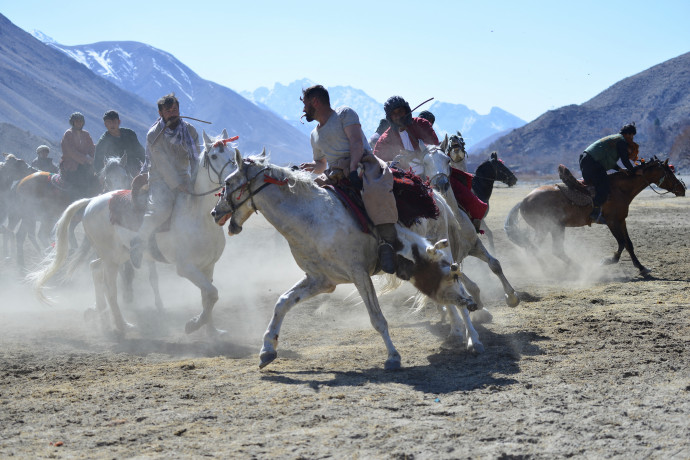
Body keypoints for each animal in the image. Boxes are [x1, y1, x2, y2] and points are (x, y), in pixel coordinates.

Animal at [30, 131, 236, 336]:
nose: (232, 180)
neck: (197, 215)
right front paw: (193, 325)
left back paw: (99, 313)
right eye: (214, 156)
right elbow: (212, 293)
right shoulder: (186, 268)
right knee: (110, 289)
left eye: (234, 154)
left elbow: (207, 297)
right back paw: (122, 325)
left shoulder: (208, 266)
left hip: (118, 254)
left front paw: (212, 331)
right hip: (112, 259)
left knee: (94, 268)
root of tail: (92, 201)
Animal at [210, 151, 484, 370]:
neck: (311, 218)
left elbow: (377, 319)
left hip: (444, 256)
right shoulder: (321, 280)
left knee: (459, 292)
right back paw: (457, 331)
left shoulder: (359, 275)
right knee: (448, 295)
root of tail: (436, 196)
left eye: (228, 181)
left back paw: (473, 339)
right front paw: (267, 350)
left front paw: (393, 357)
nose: (214, 212)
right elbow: (283, 302)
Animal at [502, 156, 684, 274]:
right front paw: (608, 261)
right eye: (669, 173)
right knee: (543, 249)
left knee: (540, 249)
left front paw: (642, 267)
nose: (682, 189)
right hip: (550, 228)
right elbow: (621, 243)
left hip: (551, 228)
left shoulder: (621, 221)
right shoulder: (612, 222)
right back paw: (563, 269)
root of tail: (523, 201)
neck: (617, 189)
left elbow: (628, 244)